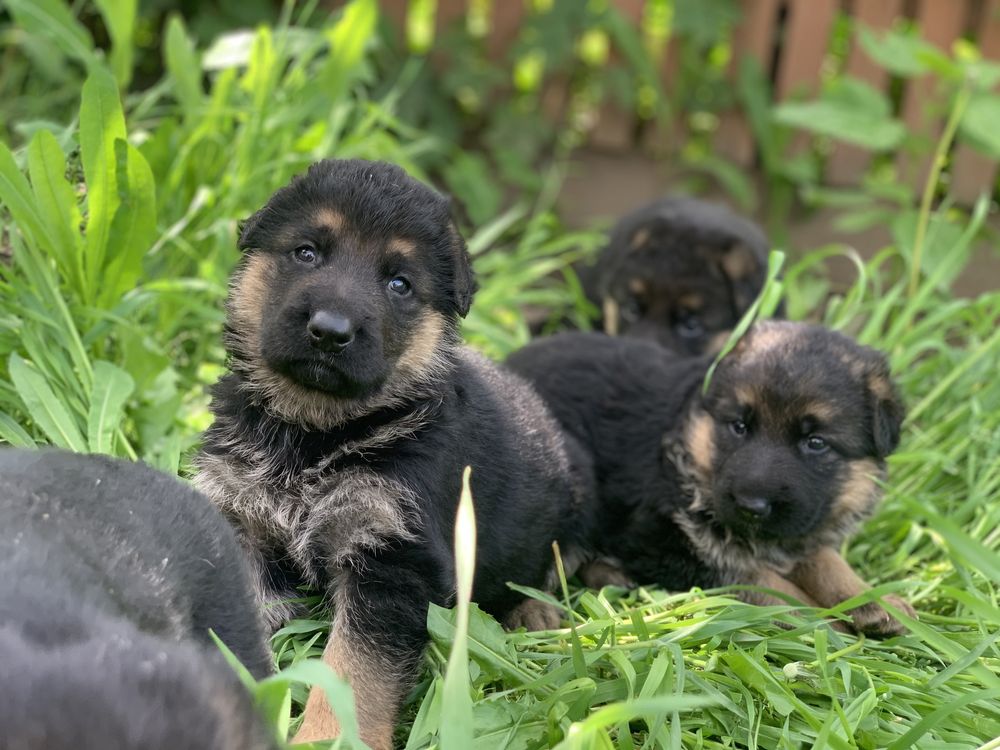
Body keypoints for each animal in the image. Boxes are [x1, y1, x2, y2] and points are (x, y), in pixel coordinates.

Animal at [191, 157, 588, 748]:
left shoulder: (392, 559)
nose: (329, 331)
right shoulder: (240, 520)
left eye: (399, 284)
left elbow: (353, 673)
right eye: (306, 252)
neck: (315, 433)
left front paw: (327, 739)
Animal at [512, 324, 916, 640]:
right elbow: (762, 580)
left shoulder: (804, 528)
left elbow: (827, 560)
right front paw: (822, 622)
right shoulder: (666, 540)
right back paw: (531, 611)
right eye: (739, 426)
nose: (751, 506)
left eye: (815, 443)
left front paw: (873, 599)